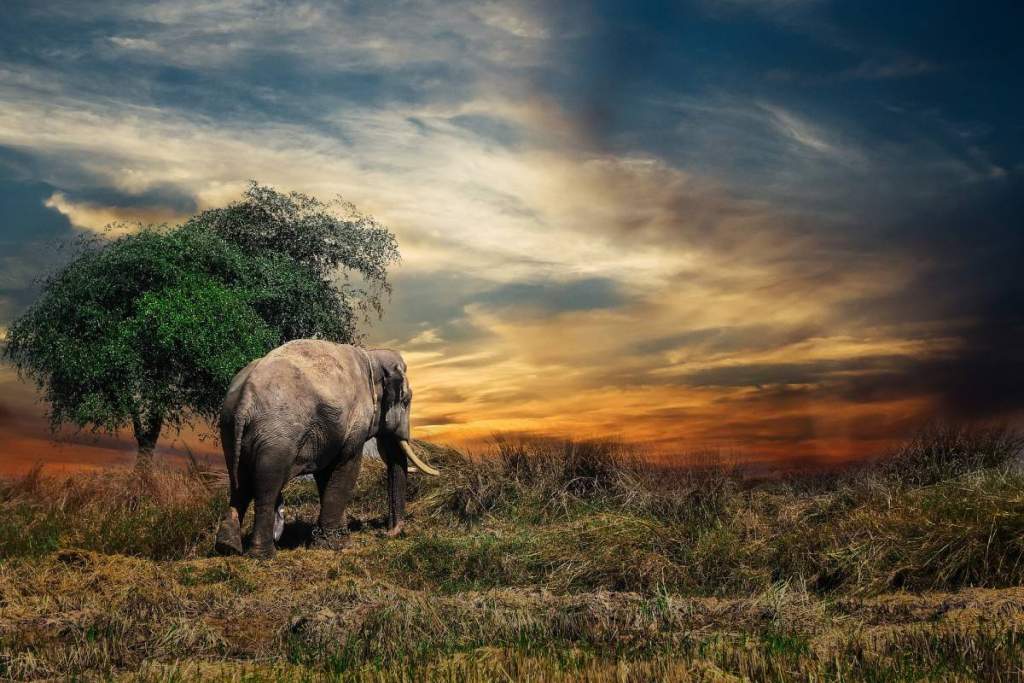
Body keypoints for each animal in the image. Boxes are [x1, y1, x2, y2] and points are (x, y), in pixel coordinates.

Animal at [214, 339, 439, 558]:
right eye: (406, 401)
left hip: (229, 429)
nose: (385, 532)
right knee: (266, 488)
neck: (371, 356)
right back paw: (263, 555)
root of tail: (245, 398)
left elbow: (326, 474)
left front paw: (331, 540)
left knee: (239, 484)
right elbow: (347, 466)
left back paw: (228, 548)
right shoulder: (354, 423)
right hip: (275, 436)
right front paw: (338, 545)